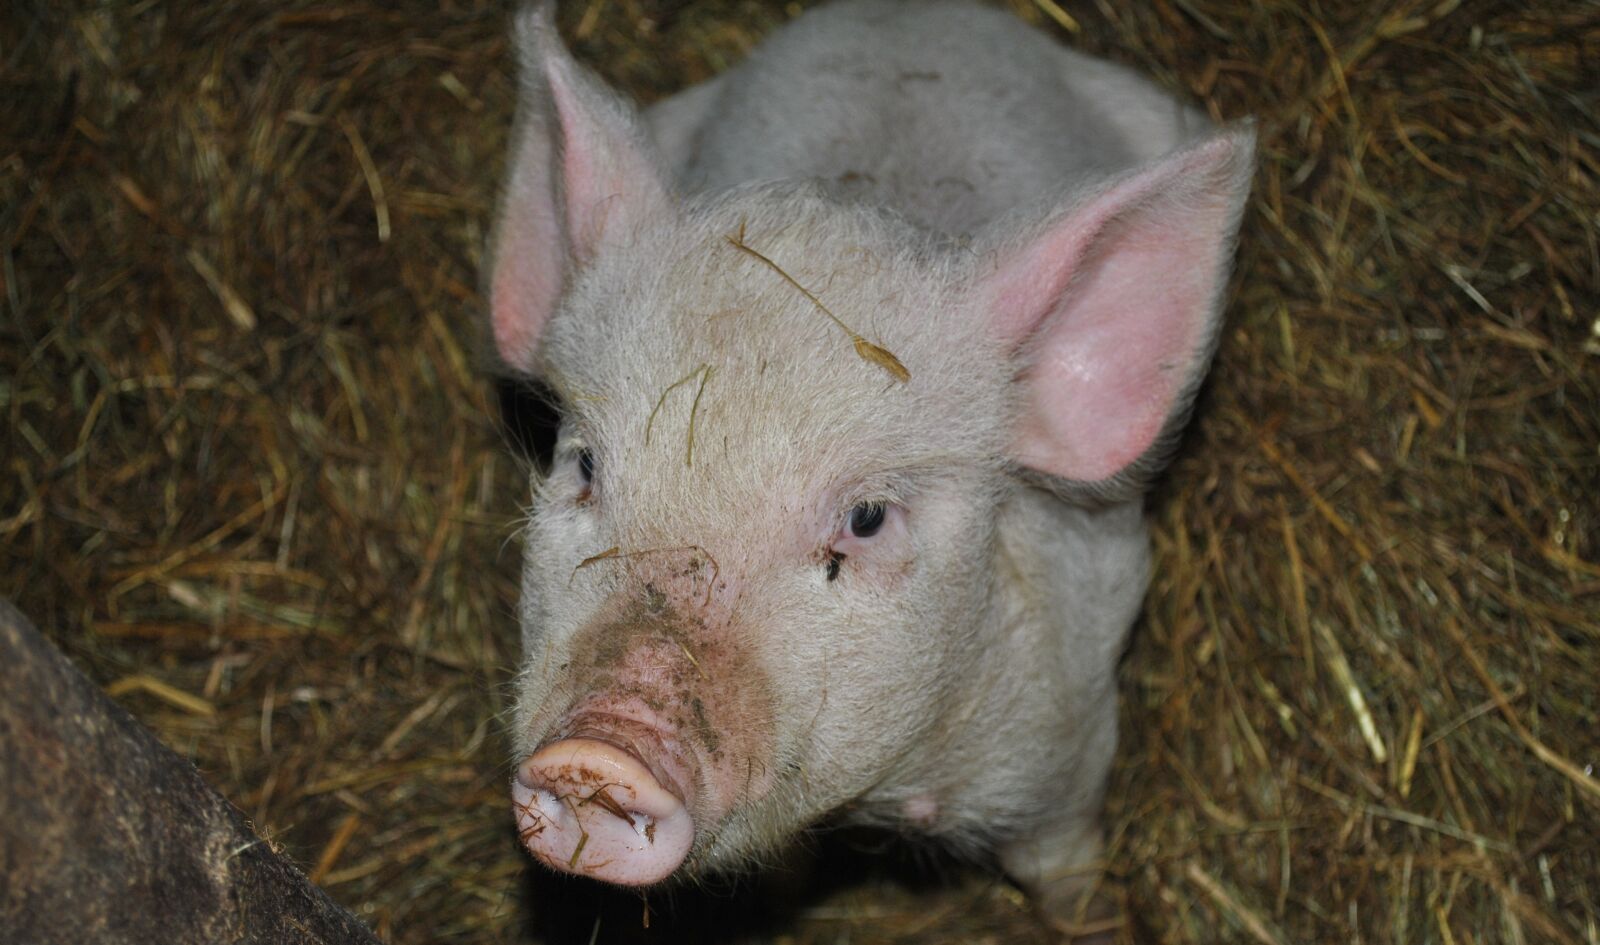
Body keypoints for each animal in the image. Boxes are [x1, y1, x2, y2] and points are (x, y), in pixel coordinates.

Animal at [489, 0, 1253, 932]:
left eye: (866, 517)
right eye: (587, 466)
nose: (599, 748)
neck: (883, 795)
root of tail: (903, 13)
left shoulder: (1068, 748)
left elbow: (1063, 867)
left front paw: (1098, 920)